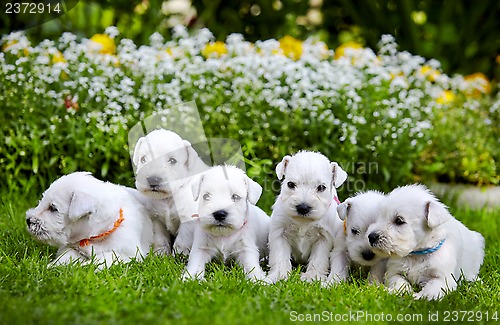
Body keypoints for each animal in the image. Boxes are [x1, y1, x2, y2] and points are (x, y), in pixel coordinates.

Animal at [25, 171, 153, 268]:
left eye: (53, 208)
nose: (28, 220)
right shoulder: (72, 248)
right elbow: (66, 256)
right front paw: (52, 266)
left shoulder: (125, 254)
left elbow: (100, 260)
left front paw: (82, 268)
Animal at [266, 151, 352, 282]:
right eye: (290, 184)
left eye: (321, 187)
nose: (303, 207)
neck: (303, 221)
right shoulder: (279, 234)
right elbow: (280, 256)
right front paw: (279, 275)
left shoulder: (324, 237)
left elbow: (318, 259)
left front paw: (311, 277)